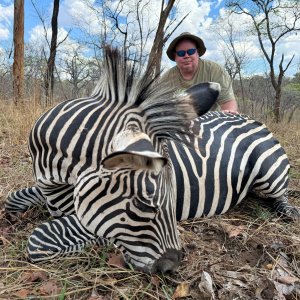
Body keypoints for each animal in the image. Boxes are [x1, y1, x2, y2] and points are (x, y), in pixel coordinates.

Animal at [5, 47, 300, 274]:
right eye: (143, 204)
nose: (170, 268)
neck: (53, 176)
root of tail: (250, 118)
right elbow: (12, 199)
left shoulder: (85, 214)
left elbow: (39, 240)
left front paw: (101, 242)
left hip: (269, 174)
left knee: (280, 196)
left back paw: (289, 211)